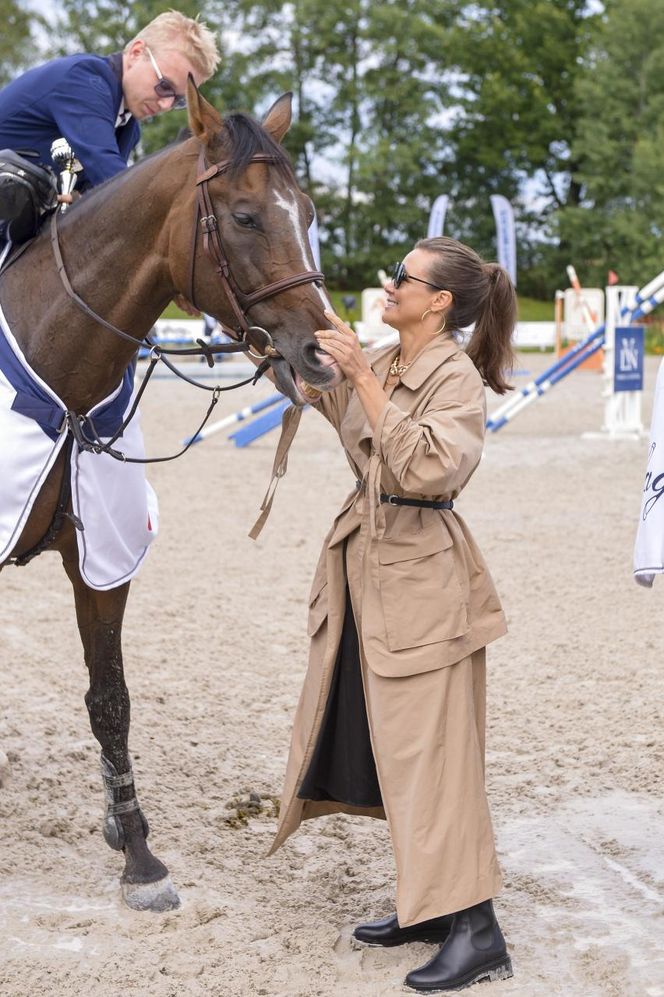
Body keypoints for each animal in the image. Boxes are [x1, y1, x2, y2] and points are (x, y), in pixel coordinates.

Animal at [0, 81, 342, 912]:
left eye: (308, 211)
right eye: (246, 216)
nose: (322, 353)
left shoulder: (102, 562)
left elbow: (110, 700)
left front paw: (137, 850)